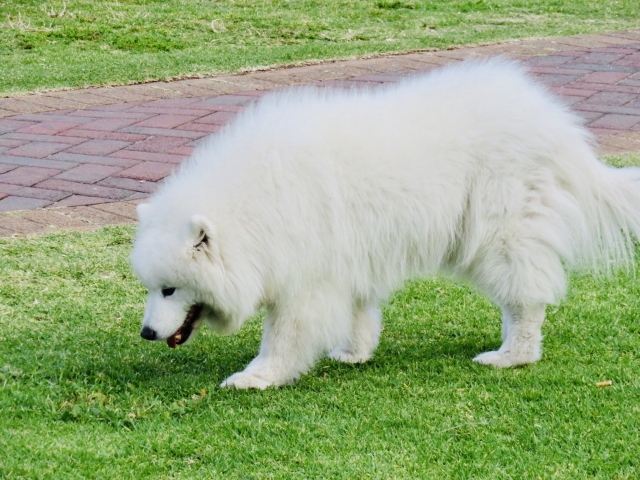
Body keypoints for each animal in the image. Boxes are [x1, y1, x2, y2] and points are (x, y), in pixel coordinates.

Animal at [131, 59, 640, 390]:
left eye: (170, 289)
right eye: (150, 288)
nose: (146, 334)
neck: (253, 203)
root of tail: (558, 126)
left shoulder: (305, 280)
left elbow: (284, 337)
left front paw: (256, 377)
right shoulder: (345, 262)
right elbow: (359, 314)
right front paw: (355, 353)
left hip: (500, 237)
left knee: (526, 300)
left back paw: (512, 356)